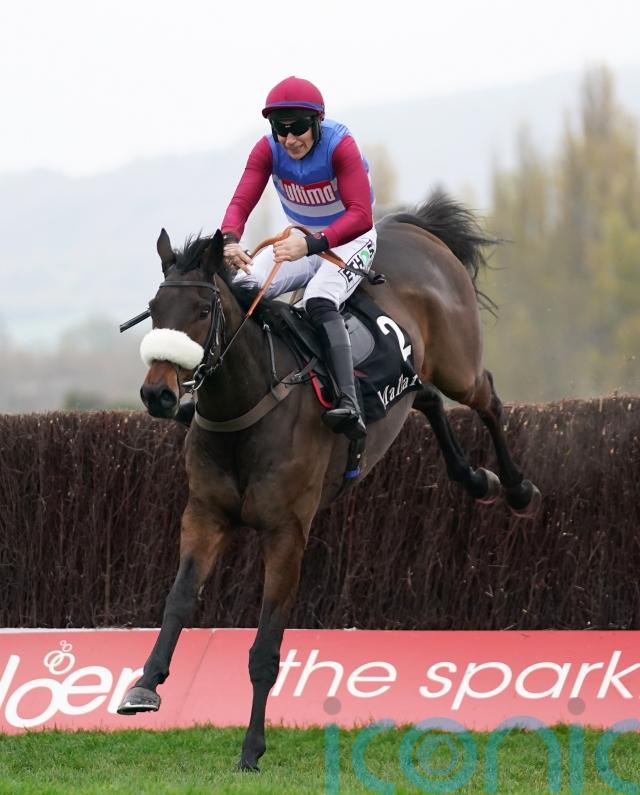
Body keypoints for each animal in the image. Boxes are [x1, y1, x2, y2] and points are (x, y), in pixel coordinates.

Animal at [116, 190, 540, 770]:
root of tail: (411, 228)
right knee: (427, 398)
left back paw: (516, 488)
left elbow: (266, 647)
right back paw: (477, 479)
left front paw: (251, 748)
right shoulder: (205, 514)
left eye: (202, 311)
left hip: (459, 364)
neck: (247, 408)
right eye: (155, 311)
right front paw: (145, 683)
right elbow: (179, 599)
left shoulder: (287, 533)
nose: (158, 394)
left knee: (488, 398)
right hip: (410, 379)